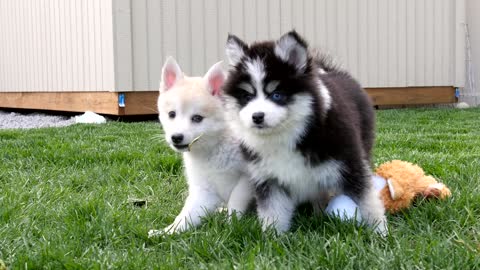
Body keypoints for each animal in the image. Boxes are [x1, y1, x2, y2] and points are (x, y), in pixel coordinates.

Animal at [223, 30, 388, 235]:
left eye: (277, 95)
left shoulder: (349, 165)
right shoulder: (268, 179)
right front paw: (272, 238)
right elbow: (273, 212)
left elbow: (368, 201)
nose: (257, 117)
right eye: (247, 96)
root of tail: (333, 71)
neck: (286, 136)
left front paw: (380, 232)